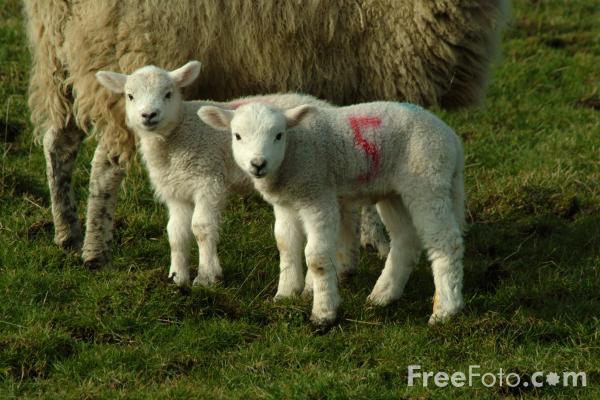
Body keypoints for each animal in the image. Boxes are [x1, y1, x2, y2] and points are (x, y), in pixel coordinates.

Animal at [95, 61, 344, 288]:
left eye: (168, 94)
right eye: (130, 96)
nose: (148, 115)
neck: (178, 135)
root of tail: (324, 105)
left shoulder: (208, 179)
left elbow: (201, 228)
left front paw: (206, 277)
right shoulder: (176, 190)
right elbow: (175, 234)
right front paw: (176, 278)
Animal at [199, 101, 466, 326]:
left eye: (278, 135)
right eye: (237, 136)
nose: (258, 164)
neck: (293, 153)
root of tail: (451, 137)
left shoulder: (318, 197)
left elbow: (316, 258)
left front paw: (323, 313)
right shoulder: (286, 205)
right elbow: (286, 246)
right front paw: (285, 295)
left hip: (427, 178)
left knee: (446, 242)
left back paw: (445, 311)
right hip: (395, 191)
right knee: (405, 241)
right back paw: (383, 296)